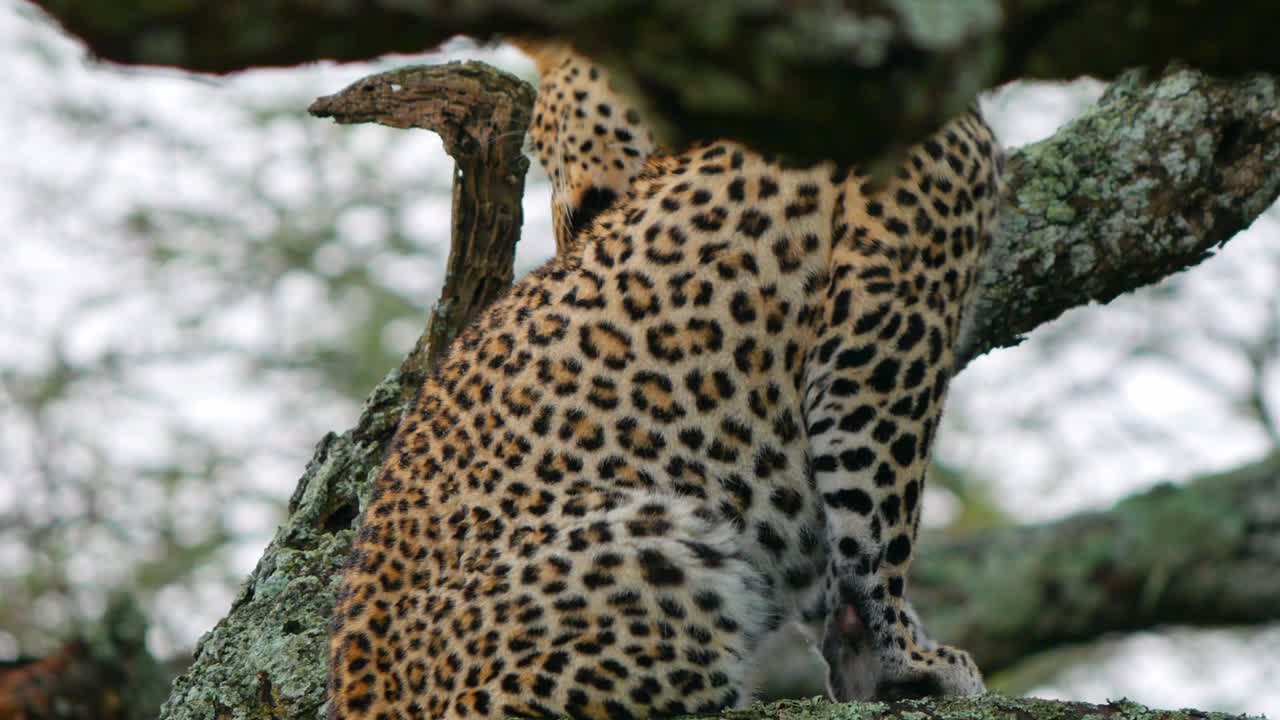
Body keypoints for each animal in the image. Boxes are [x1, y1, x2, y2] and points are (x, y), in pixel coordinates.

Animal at [327, 40, 1003, 720]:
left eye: (543, 142)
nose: (567, 223)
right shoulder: (888, 318)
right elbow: (878, 517)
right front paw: (907, 662)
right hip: (657, 538)